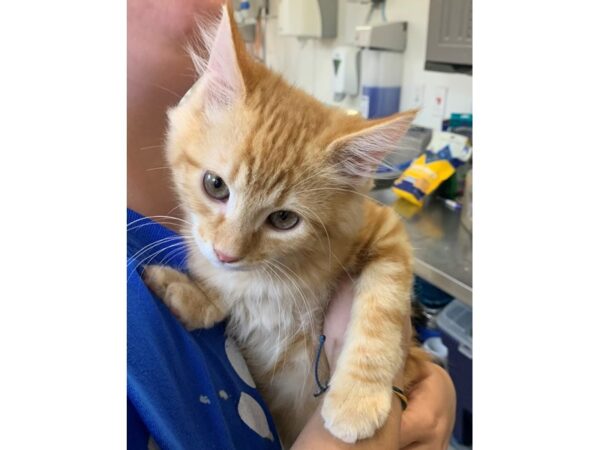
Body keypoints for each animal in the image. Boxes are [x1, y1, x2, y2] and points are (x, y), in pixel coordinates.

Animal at [143, 4, 426, 446]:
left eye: (284, 219)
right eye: (215, 185)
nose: (227, 253)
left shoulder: (387, 232)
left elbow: (382, 304)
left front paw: (356, 400)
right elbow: (220, 291)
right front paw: (189, 293)